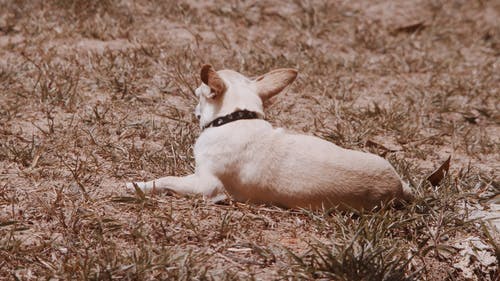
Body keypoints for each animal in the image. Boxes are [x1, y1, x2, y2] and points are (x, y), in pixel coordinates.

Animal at [127, 65, 412, 210]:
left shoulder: (206, 185)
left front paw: (137, 185)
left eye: (198, 93)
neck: (237, 117)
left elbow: (167, 179)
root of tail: (398, 187)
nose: (193, 110)